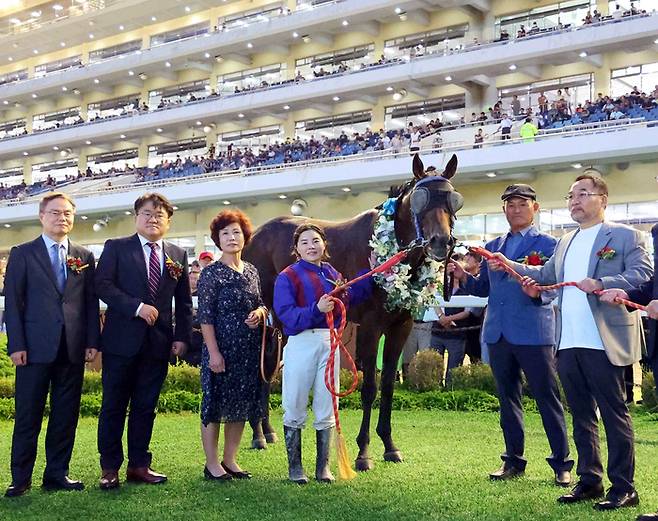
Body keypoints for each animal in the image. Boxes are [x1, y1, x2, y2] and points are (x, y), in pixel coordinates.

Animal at [242, 152, 462, 470]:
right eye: (420, 200)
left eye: (453, 200)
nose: (441, 242)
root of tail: (253, 236)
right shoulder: (370, 326)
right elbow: (369, 386)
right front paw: (363, 452)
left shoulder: (400, 327)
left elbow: (388, 385)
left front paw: (390, 446)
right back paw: (258, 434)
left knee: (270, 366)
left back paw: (267, 431)